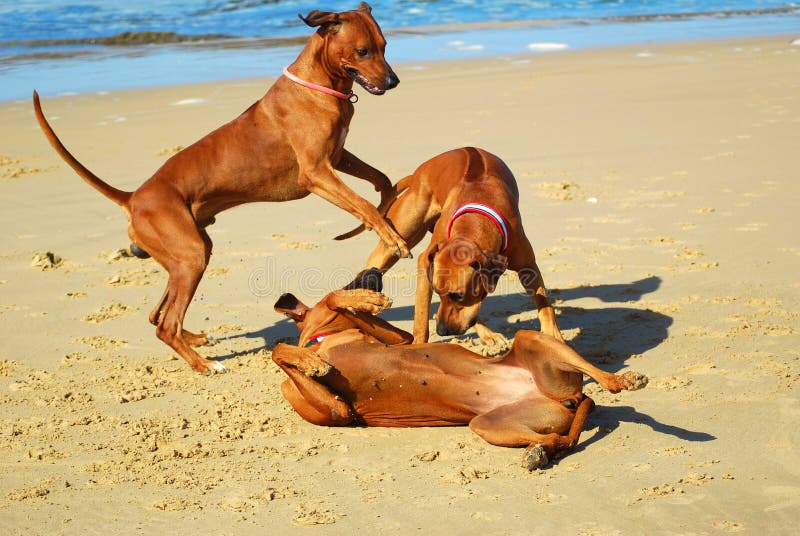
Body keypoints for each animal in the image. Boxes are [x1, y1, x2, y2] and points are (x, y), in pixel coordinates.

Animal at [32, 4, 410, 374]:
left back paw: (196, 339)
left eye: (385, 46)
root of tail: (134, 198)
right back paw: (204, 365)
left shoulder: (338, 157)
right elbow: (363, 204)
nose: (394, 81)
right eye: (363, 51)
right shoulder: (316, 173)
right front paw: (393, 238)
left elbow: (381, 180)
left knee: (157, 315)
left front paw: (388, 207)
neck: (318, 86)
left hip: (186, 255)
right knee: (165, 325)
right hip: (191, 256)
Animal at [360, 147, 560, 346]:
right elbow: (422, 315)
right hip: (396, 238)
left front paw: (553, 335)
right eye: (437, 291)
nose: (441, 331)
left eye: (457, 295)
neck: (473, 224)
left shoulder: (527, 264)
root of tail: (419, 172)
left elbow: (543, 302)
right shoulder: (427, 262)